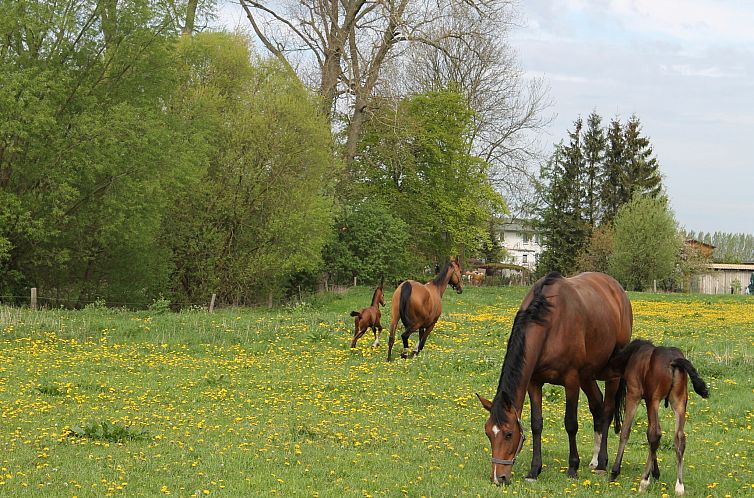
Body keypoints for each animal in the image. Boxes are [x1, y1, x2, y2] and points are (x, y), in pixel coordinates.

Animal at [478, 274, 632, 484]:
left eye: (509, 434)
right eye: (488, 433)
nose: (498, 477)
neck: (551, 323)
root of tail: (617, 290)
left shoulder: (571, 381)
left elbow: (571, 424)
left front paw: (573, 467)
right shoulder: (534, 383)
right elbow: (536, 424)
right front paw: (534, 470)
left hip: (611, 375)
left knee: (607, 411)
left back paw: (601, 463)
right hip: (587, 375)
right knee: (597, 406)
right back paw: (594, 460)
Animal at [604, 338, 704, 494]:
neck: (633, 355)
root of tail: (674, 361)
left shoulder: (634, 395)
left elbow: (626, 432)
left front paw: (615, 472)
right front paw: (656, 473)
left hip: (654, 400)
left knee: (655, 434)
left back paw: (644, 481)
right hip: (679, 402)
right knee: (679, 438)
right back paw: (679, 486)